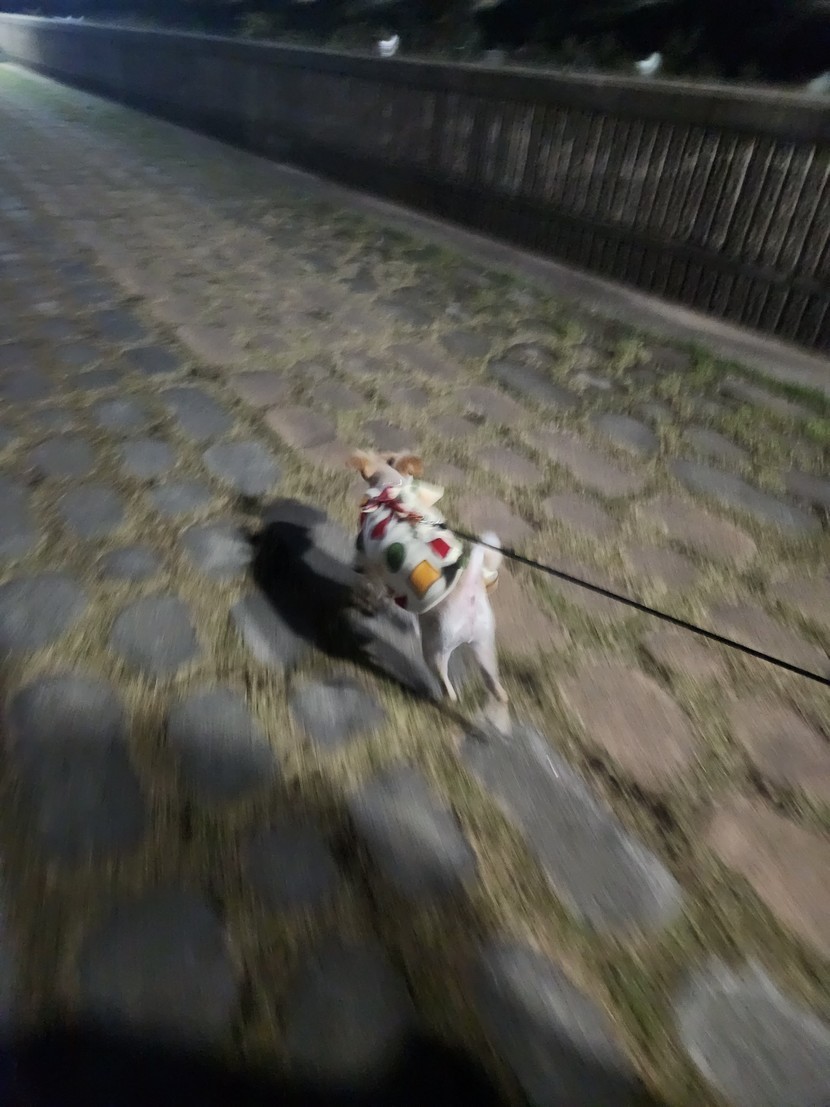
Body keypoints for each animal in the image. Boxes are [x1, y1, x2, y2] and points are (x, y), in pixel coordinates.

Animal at [348, 449, 507, 705]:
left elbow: (368, 582)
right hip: (484, 645)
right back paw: (497, 696)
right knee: (496, 685)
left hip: (435, 647)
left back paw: (437, 695)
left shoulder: (369, 560)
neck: (394, 491)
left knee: (447, 686)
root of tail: (469, 591)